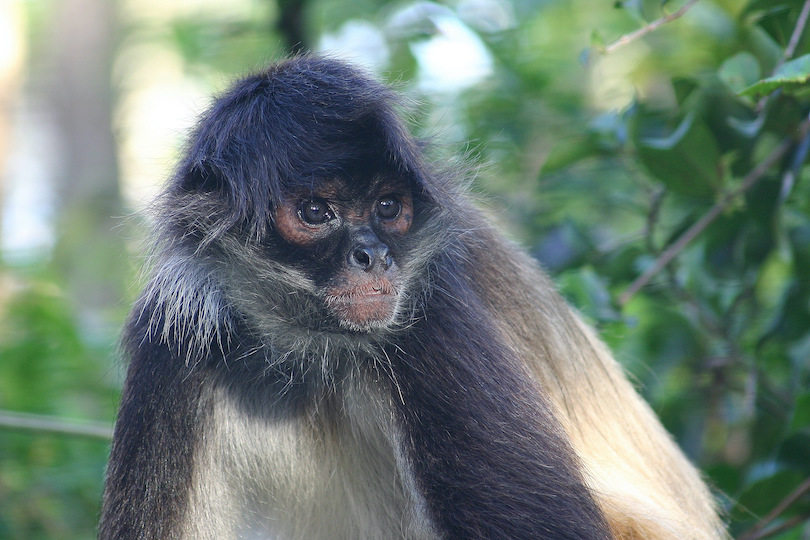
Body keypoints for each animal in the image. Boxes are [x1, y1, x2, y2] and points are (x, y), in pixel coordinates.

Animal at [98, 57, 724, 536]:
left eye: (388, 207)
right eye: (315, 212)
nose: (374, 255)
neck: (313, 351)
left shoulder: (427, 308)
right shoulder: (174, 338)